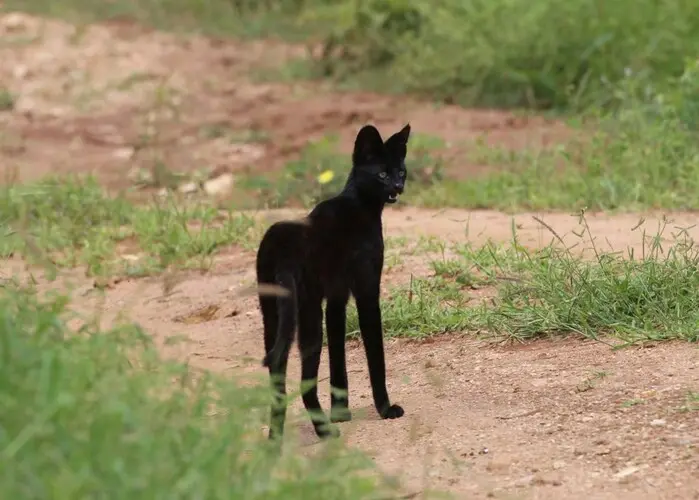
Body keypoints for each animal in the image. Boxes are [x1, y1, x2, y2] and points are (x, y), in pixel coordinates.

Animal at [256, 123, 410, 440]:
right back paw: (324, 431)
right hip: (308, 311)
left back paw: (276, 437)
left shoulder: (337, 297)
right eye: (382, 174)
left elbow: (338, 355)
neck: (360, 204)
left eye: (400, 171)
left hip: (272, 314)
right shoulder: (366, 289)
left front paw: (340, 412)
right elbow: (375, 352)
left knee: (278, 372)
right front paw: (385, 409)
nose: (397, 187)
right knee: (304, 379)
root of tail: (281, 249)